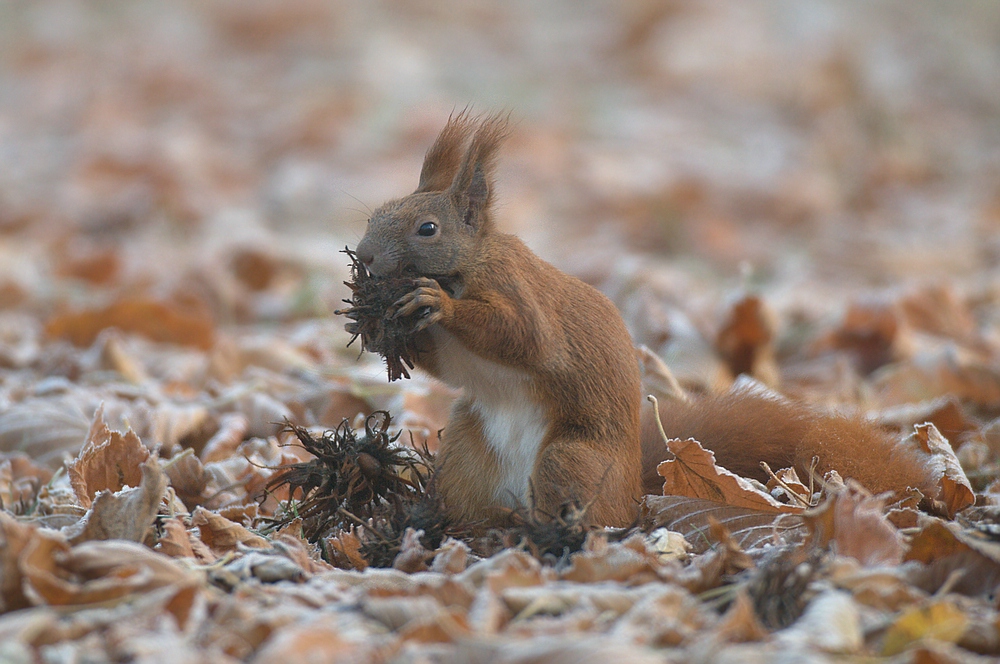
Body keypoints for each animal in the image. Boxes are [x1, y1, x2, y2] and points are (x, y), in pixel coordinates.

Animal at [350, 115, 936, 528]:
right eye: (377, 213)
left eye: (427, 228)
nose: (367, 257)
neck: (467, 267)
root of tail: (634, 485)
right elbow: (448, 365)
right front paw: (378, 327)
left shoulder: (521, 292)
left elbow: (525, 339)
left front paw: (436, 304)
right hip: (467, 452)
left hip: (573, 459)